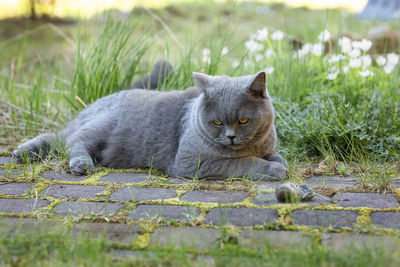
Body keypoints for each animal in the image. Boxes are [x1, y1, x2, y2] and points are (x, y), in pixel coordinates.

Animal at [13, 64, 288, 181]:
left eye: (243, 120)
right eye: (217, 122)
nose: (230, 136)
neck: (251, 145)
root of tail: (93, 105)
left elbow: (273, 155)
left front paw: (279, 162)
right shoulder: (193, 161)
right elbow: (243, 163)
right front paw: (274, 169)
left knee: (58, 138)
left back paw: (22, 153)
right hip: (104, 124)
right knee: (72, 143)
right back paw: (81, 164)